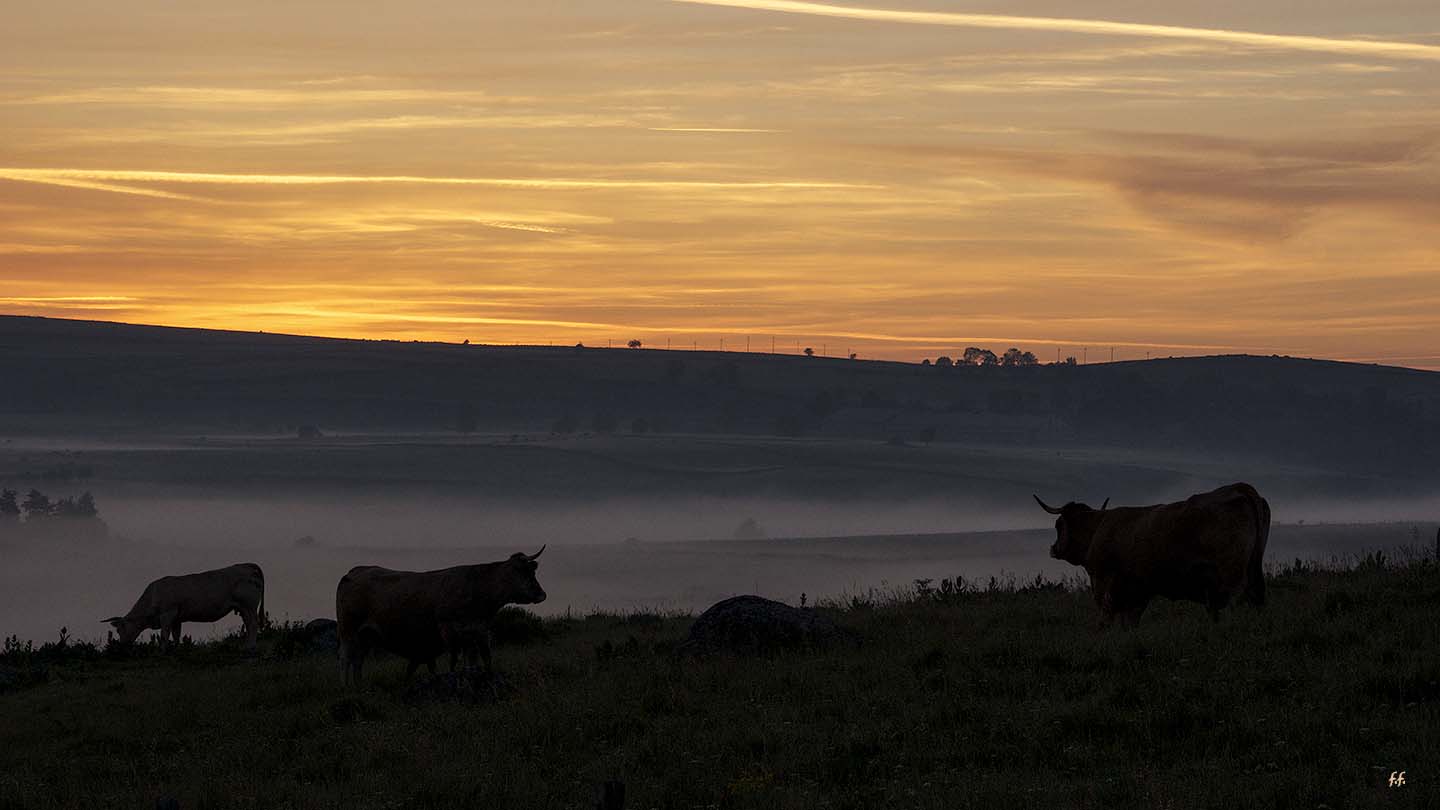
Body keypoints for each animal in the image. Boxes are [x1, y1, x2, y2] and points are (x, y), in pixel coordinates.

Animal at [105, 562, 269, 648]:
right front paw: (176, 649)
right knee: (248, 624)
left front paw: (162, 651)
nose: (122, 646)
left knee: (253, 625)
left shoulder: (167, 614)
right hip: (243, 608)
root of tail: (247, 565)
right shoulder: (177, 618)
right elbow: (176, 635)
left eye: (120, 629)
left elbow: (164, 635)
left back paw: (250, 647)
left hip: (248, 605)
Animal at [334, 544, 547, 683]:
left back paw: (359, 686)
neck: (477, 587)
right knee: (345, 658)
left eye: (533, 572)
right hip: (348, 630)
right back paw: (346, 687)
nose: (542, 594)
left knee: (358, 660)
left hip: (365, 636)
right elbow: (453, 660)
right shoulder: (448, 629)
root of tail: (355, 571)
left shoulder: (477, 630)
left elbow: (480, 658)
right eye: (524, 571)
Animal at [1036, 478, 1272, 625]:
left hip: (1231, 575)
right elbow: (1129, 622)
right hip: (1252, 571)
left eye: (1058, 525)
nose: (1053, 548)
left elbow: (1106, 619)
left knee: (1234, 600)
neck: (1098, 527)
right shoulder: (1136, 592)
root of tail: (1239, 487)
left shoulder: (1103, 582)